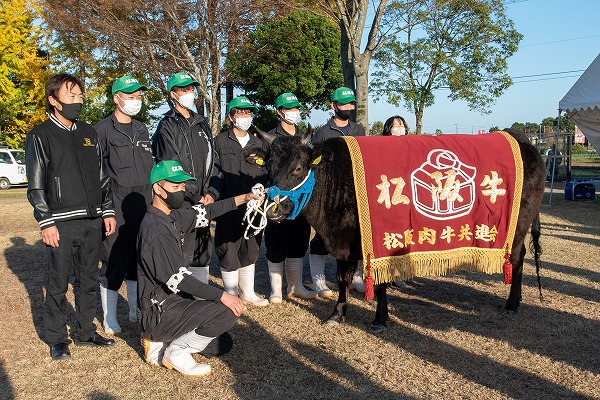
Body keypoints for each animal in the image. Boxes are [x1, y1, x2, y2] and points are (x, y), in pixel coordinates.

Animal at [246, 128, 548, 332]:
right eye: (269, 167)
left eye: (299, 168)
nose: (273, 210)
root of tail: (518, 137)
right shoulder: (344, 244)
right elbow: (343, 279)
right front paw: (337, 314)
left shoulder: (379, 240)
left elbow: (379, 283)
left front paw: (380, 319)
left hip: (518, 225)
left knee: (518, 259)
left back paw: (512, 304)